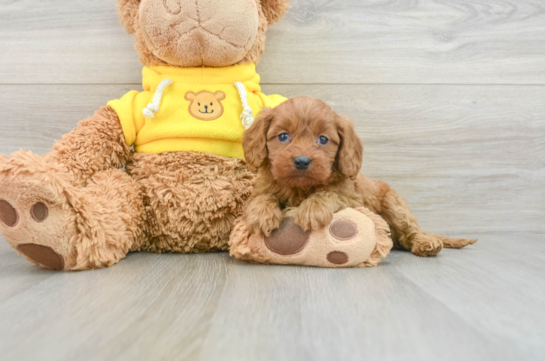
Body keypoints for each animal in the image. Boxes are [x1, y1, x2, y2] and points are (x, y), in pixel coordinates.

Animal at [242, 95, 476, 256]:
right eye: (283, 136)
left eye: (323, 139)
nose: (301, 161)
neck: (301, 187)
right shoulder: (260, 189)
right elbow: (262, 197)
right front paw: (262, 214)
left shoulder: (353, 200)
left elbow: (329, 193)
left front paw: (312, 209)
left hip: (394, 204)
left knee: (410, 232)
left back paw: (425, 243)